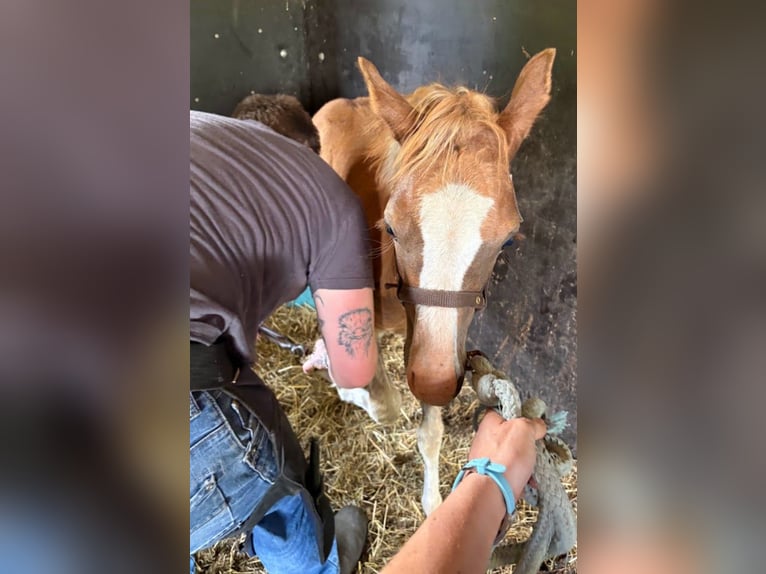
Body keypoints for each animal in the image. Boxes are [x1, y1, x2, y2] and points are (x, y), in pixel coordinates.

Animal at [313, 49, 556, 515]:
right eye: (389, 226)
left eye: (508, 238)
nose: (435, 384)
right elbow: (378, 399)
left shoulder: (434, 348)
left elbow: (429, 431)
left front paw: (434, 504)